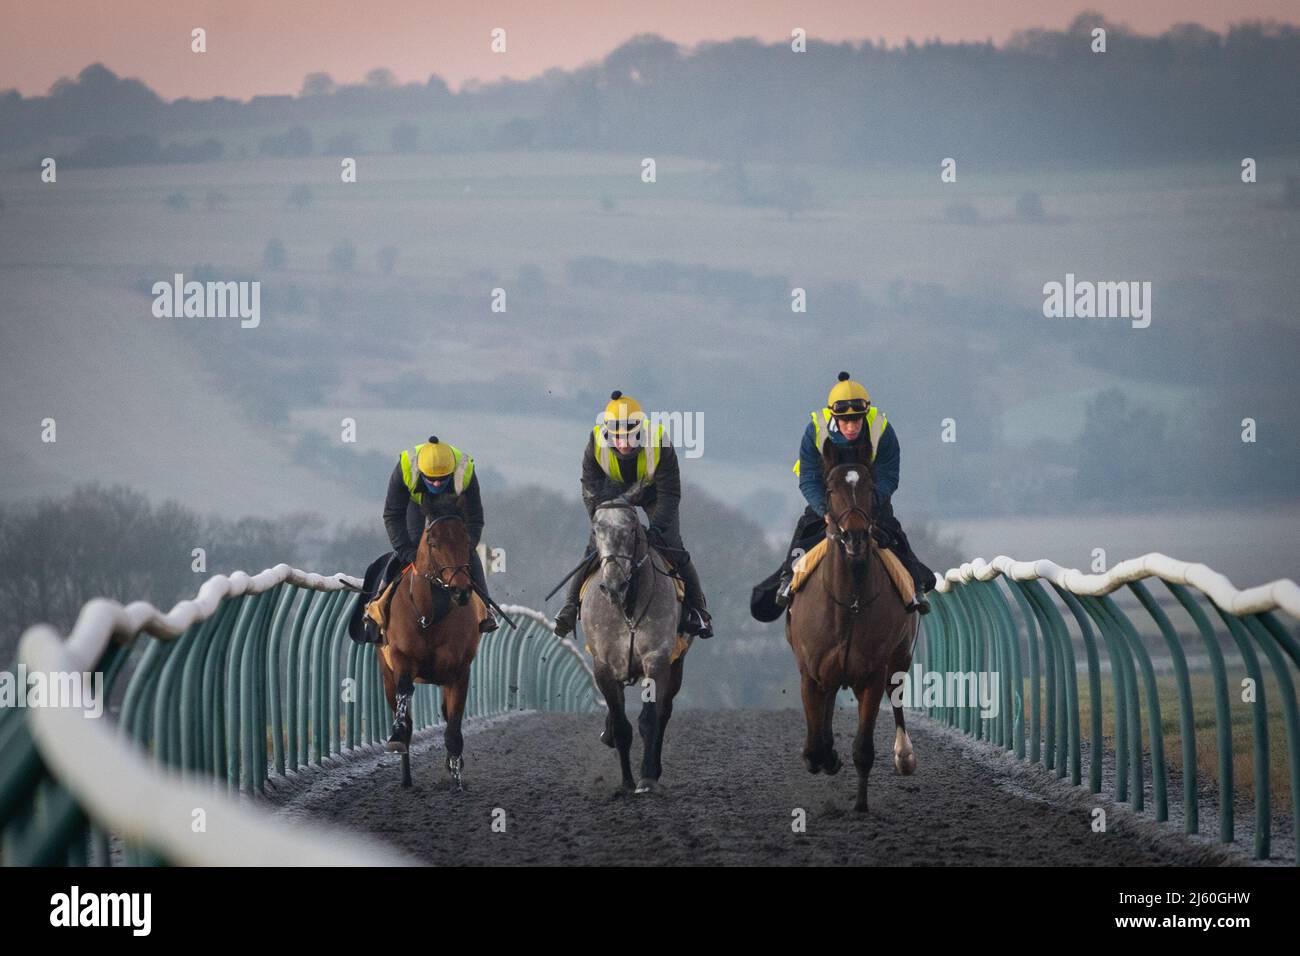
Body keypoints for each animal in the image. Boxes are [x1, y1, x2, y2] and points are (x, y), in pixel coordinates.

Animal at [379, 515, 483, 790]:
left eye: (467, 541)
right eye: (433, 544)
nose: (460, 590)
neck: (430, 615)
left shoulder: (459, 671)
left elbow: (453, 725)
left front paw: (456, 778)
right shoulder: (401, 659)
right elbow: (405, 700)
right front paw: (397, 737)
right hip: (386, 674)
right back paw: (406, 777)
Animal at [585, 486, 691, 790]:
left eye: (631, 527)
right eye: (596, 529)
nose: (614, 585)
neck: (627, 608)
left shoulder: (656, 658)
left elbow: (649, 720)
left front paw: (645, 778)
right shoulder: (604, 666)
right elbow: (621, 725)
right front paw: (626, 783)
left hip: (677, 664)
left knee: (664, 712)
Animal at [785, 447, 920, 816]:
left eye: (871, 488)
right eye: (831, 490)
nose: (855, 537)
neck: (850, 601)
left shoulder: (871, 675)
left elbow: (863, 747)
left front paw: (860, 805)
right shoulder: (810, 673)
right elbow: (815, 740)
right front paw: (823, 756)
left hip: (900, 656)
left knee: (896, 695)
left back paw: (904, 755)